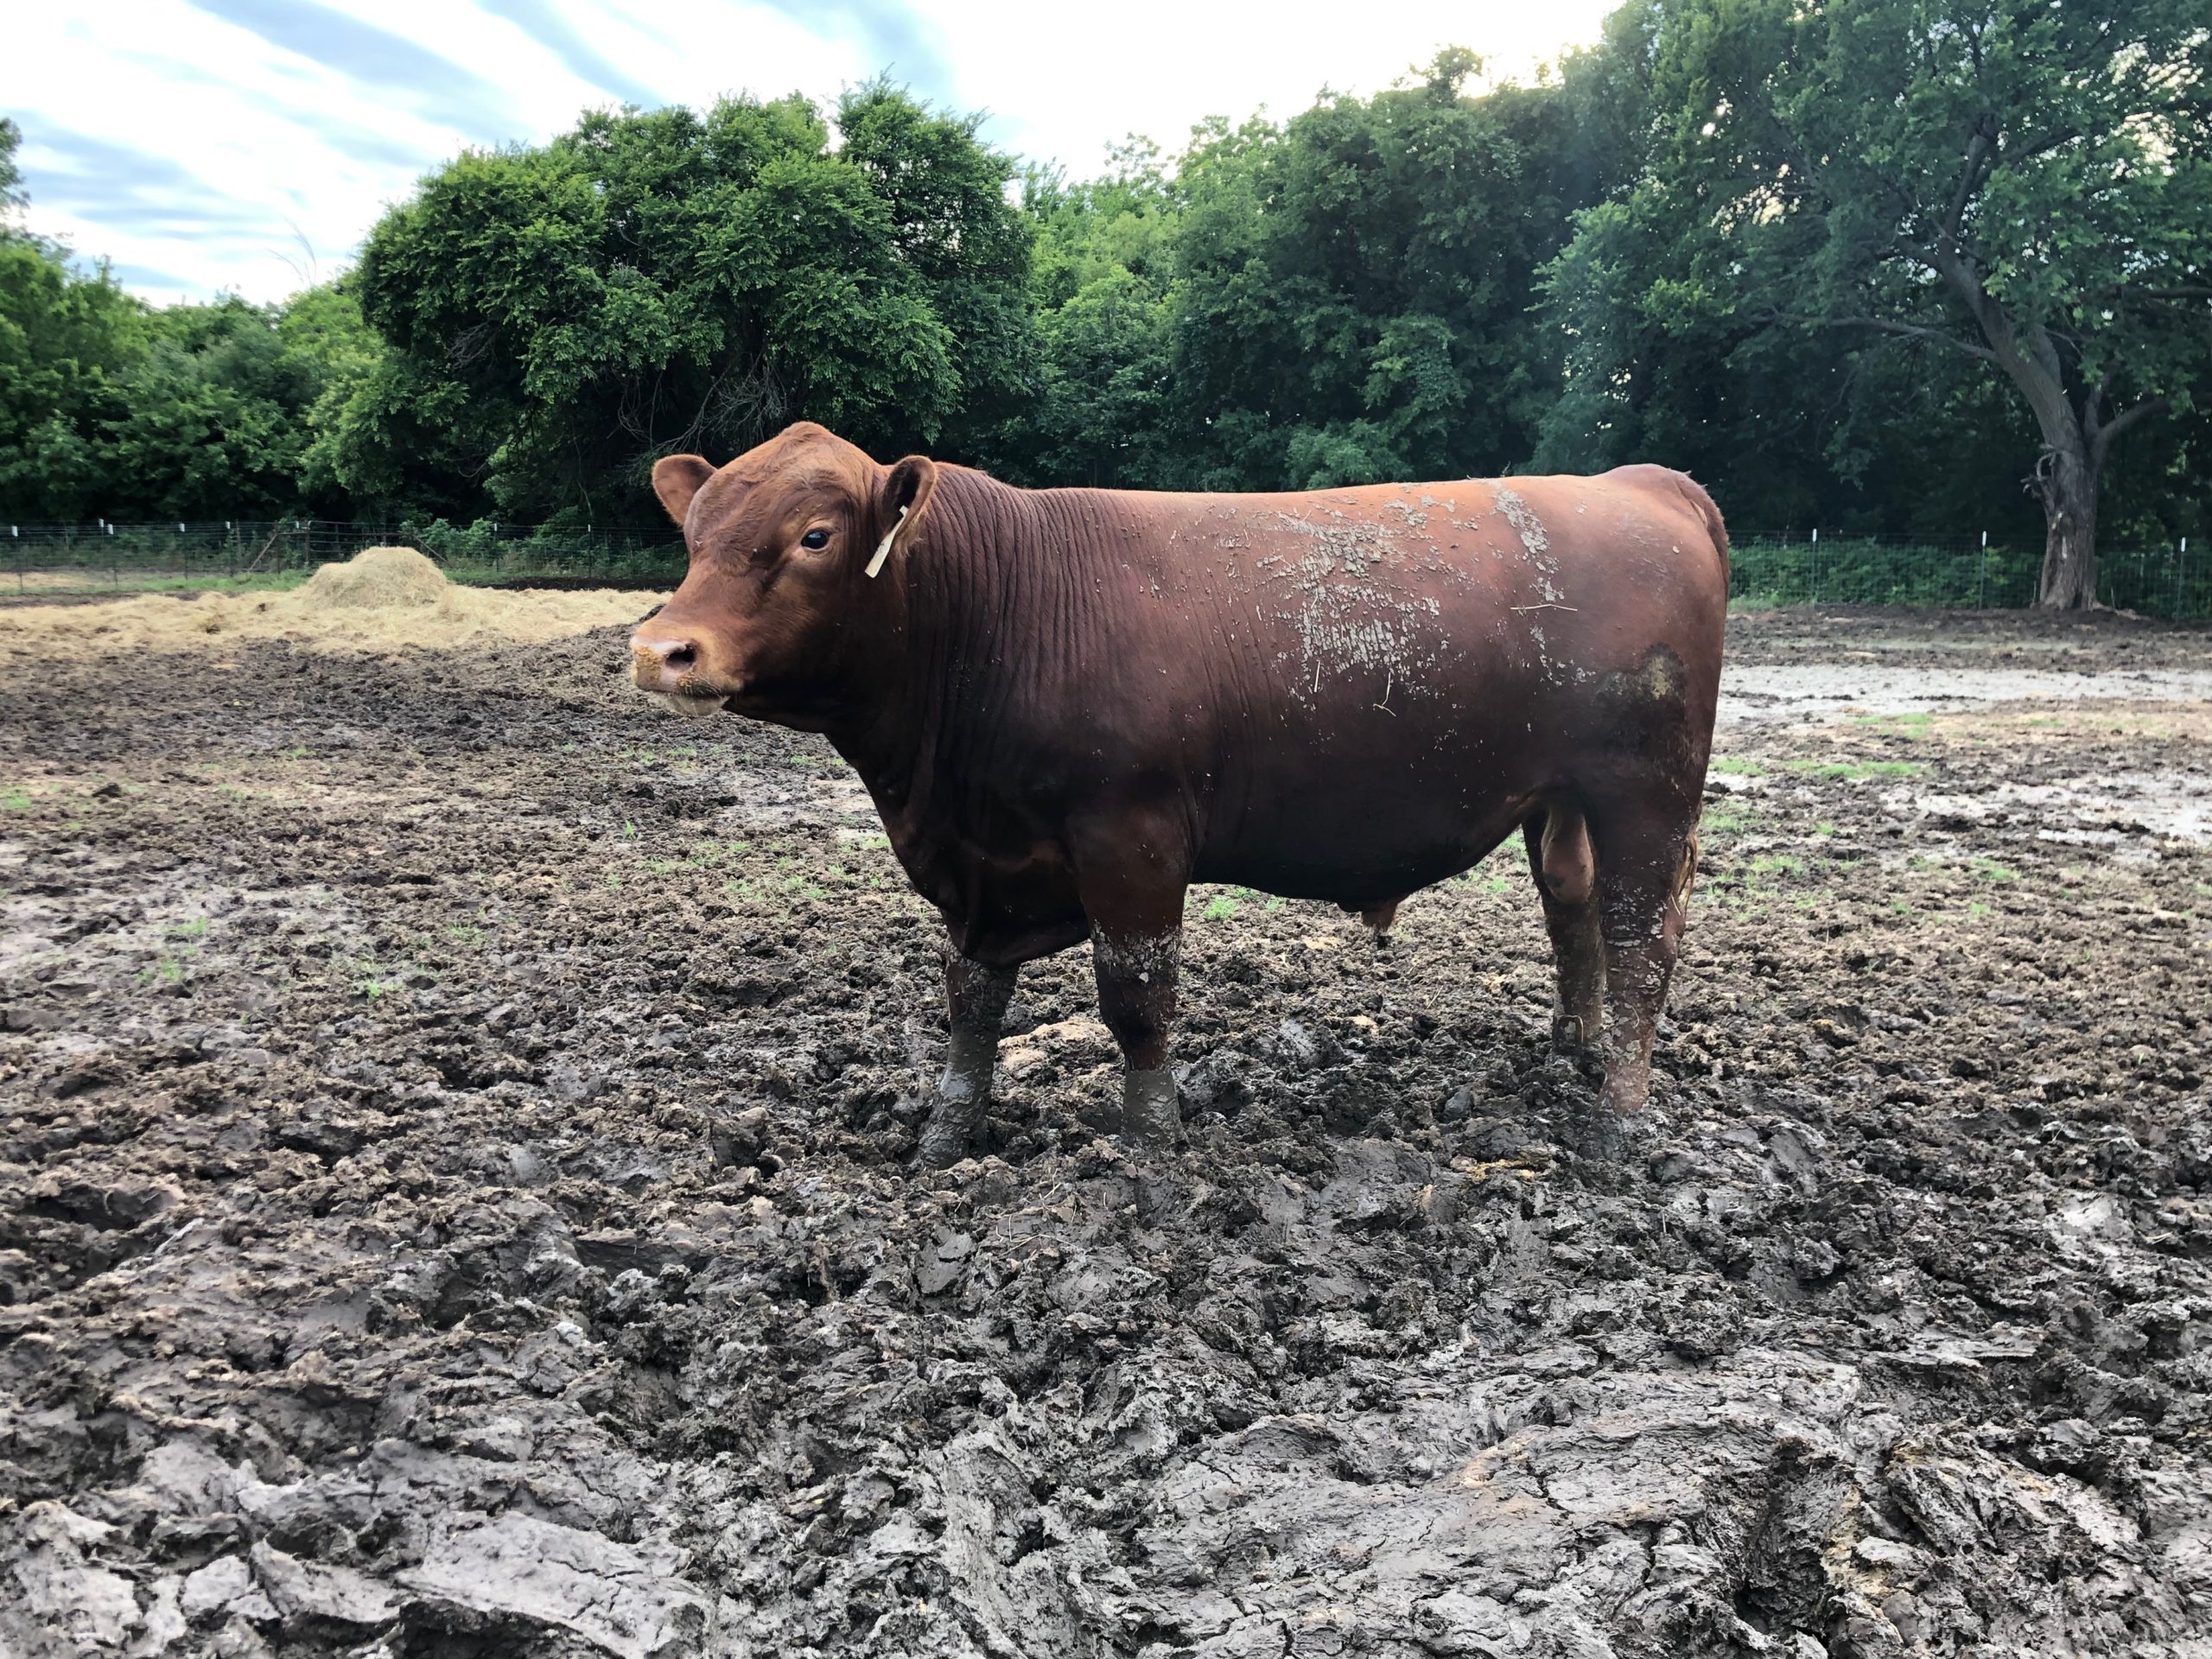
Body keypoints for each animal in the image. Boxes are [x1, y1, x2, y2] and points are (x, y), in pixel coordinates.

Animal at [632, 422, 1727, 1163]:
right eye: (693, 530)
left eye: (816, 535)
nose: (660, 648)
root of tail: (1640, 482)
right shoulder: (981, 869)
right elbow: (971, 998)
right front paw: (947, 1137)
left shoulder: (1133, 839)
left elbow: (1136, 1000)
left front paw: (1153, 1158)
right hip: (1563, 795)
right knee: (1572, 909)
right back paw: (1574, 1047)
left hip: (1648, 791)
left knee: (1642, 941)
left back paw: (1618, 1120)